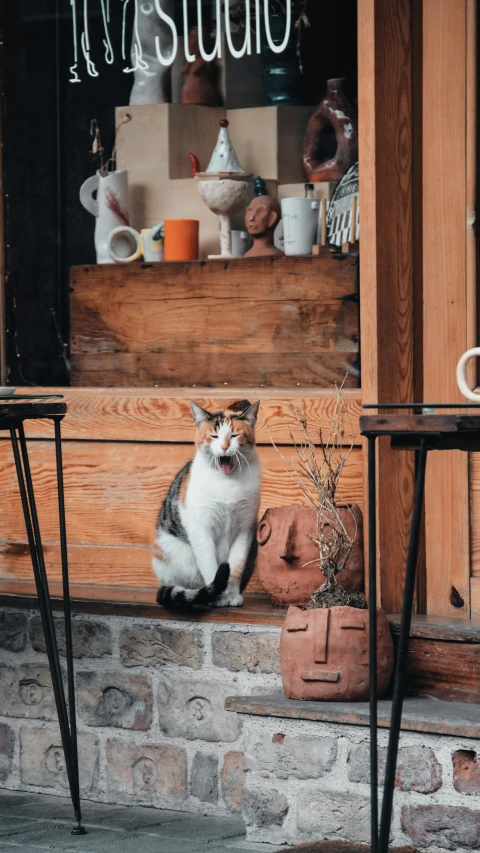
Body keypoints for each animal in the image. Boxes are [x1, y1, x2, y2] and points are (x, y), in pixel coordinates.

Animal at [154, 398, 260, 604]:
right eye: (214, 436)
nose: (225, 447)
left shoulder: (245, 527)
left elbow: (236, 566)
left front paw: (232, 595)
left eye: (234, 435)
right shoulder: (201, 527)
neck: (227, 482)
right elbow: (210, 565)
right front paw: (217, 597)